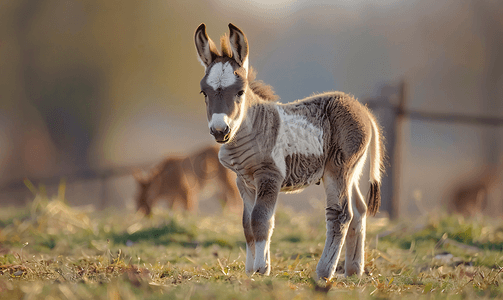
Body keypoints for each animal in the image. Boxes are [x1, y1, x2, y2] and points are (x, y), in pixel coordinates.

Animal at [195, 23, 384, 282]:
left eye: (240, 92)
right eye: (204, 92)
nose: (219, 130)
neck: (253, 127)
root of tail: (363, 111)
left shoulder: (269, 177)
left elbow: (260, 220)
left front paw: (260, 269)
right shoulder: (244, 181)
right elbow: (247, 224)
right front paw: (251, 269)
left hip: (338, 170)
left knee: (340, 214)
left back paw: (324, 272)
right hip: (352, 172)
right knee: (359, 210)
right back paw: (354, 271)